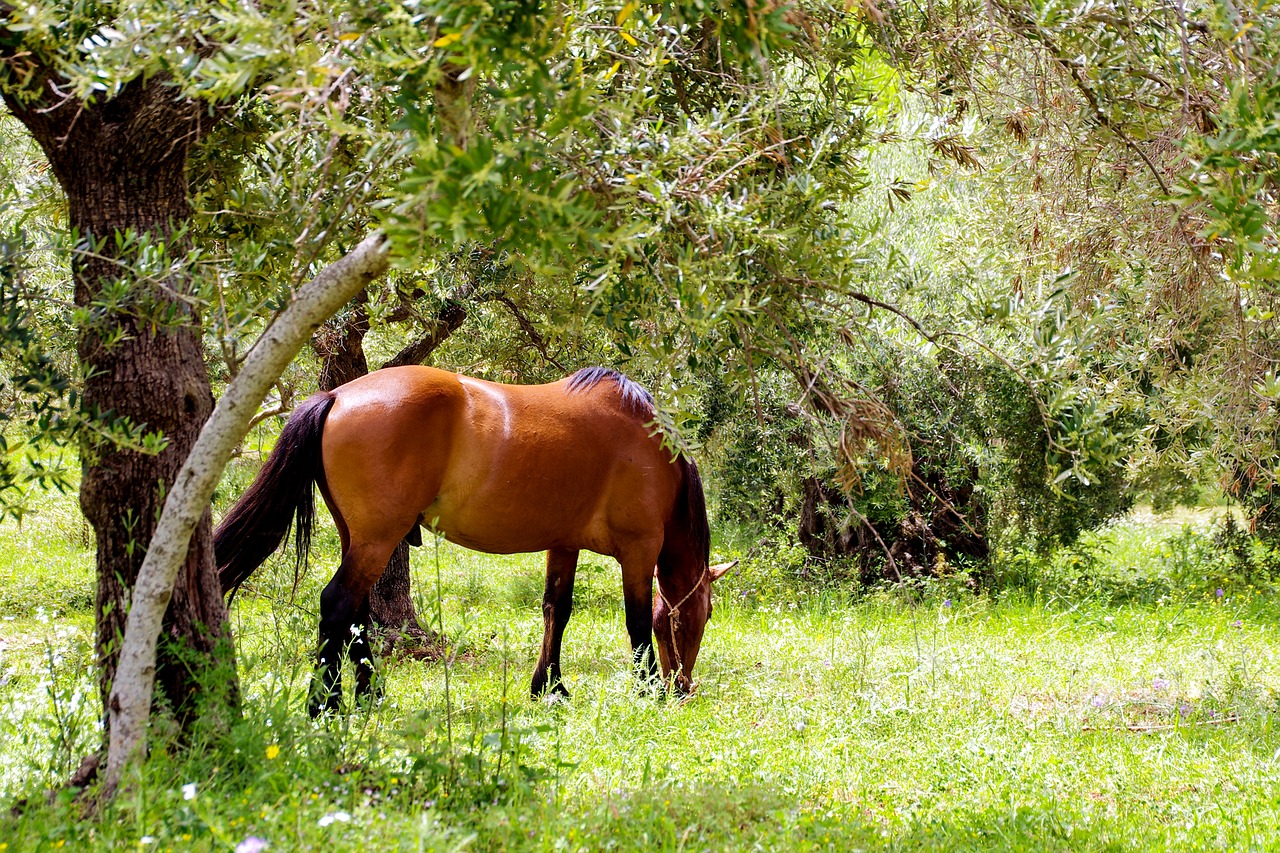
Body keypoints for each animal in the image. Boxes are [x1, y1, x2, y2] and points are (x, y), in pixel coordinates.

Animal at [216, 363, 737, 712]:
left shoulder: (564, 543)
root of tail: (337, 395)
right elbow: (636, 621)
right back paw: (326, 705)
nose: (684, 687)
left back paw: (370, 696)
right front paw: (646, 690)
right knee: (337, 605)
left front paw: (550, 687)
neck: (649, 445)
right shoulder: (638, 549)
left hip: (358, 538)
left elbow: (557, 610)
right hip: (376, 539)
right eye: (701, 616)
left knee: (356, 615)